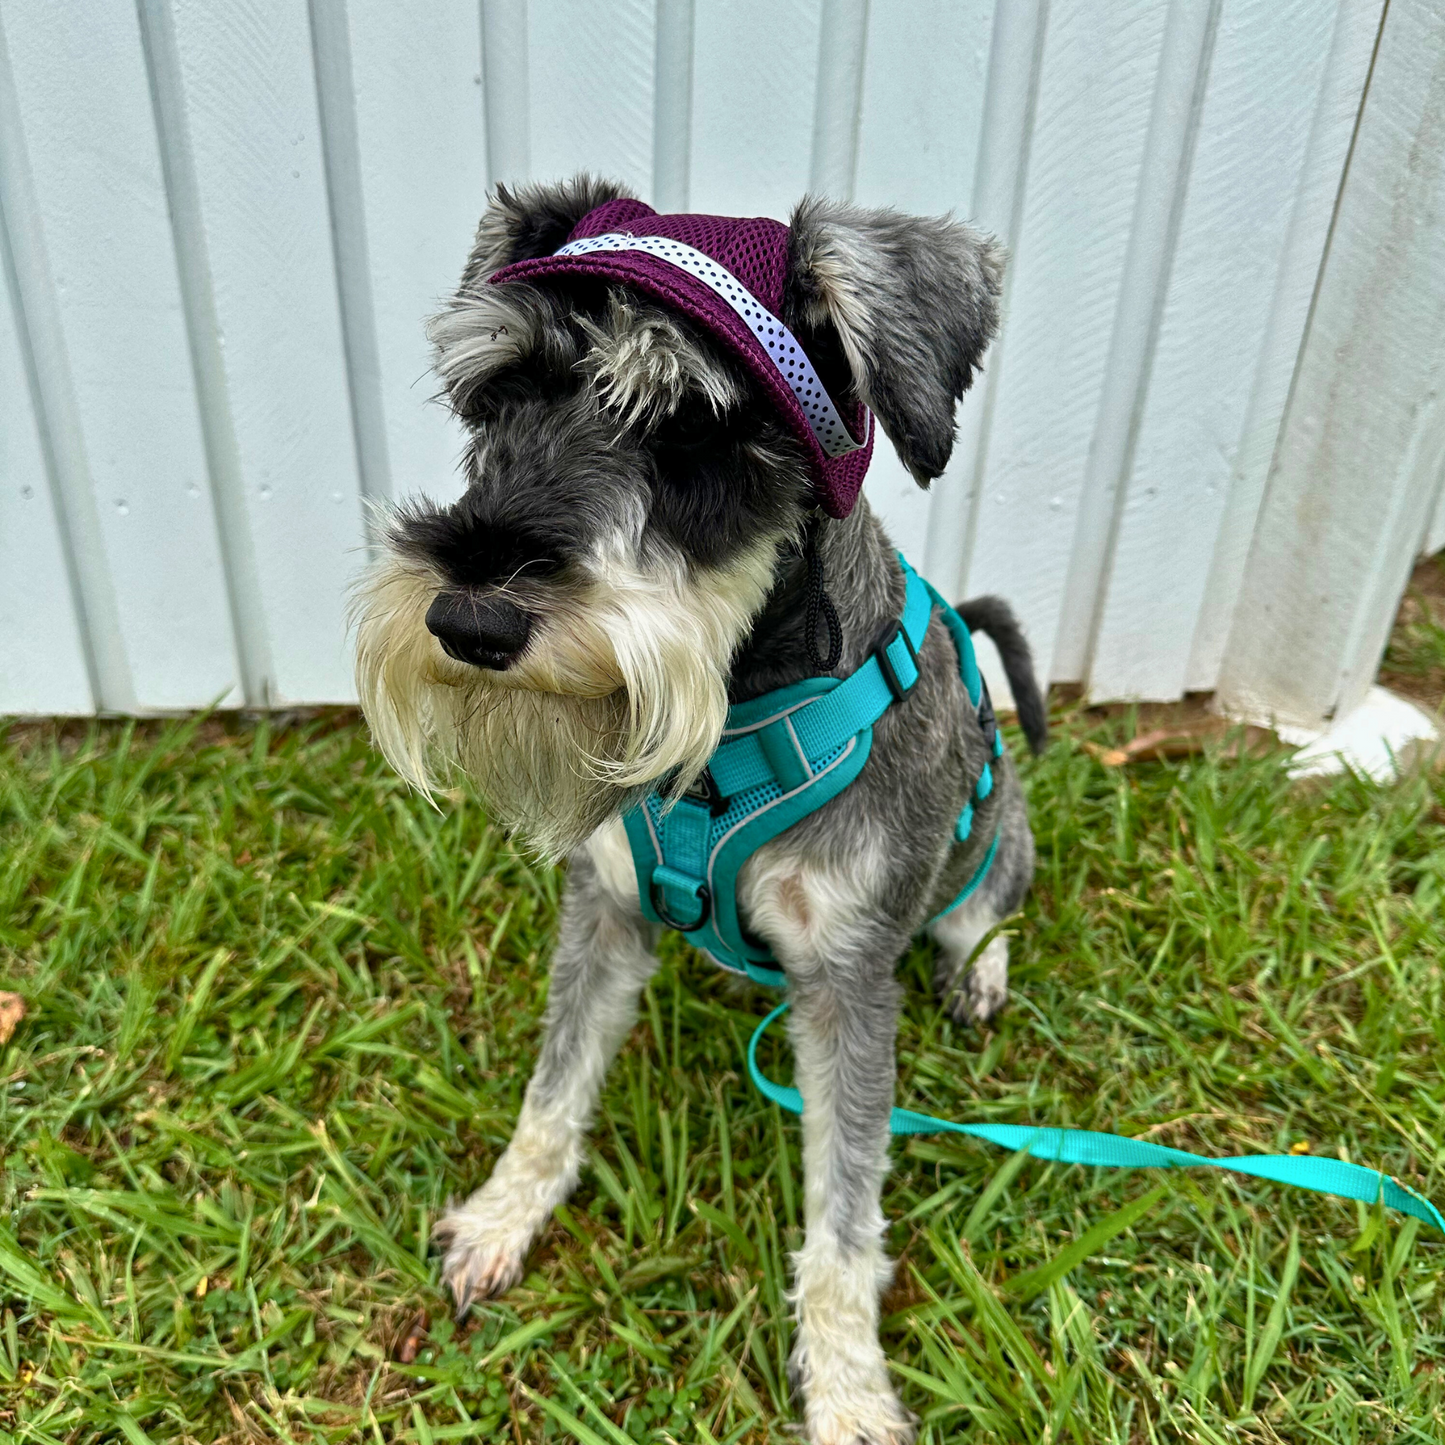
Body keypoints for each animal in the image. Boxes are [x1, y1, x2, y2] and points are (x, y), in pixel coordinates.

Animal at [354, 177, 1046, 1445]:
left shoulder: (848, 981)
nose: (470, 621)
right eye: (495, 396)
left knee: (984, 906)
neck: (729, 725)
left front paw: (849, 1388)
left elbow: (843, 1215)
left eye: (691, 433)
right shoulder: (604, 911)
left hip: (994, 832)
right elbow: (551, 1088)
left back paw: (978, 968)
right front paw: (500, 1216)